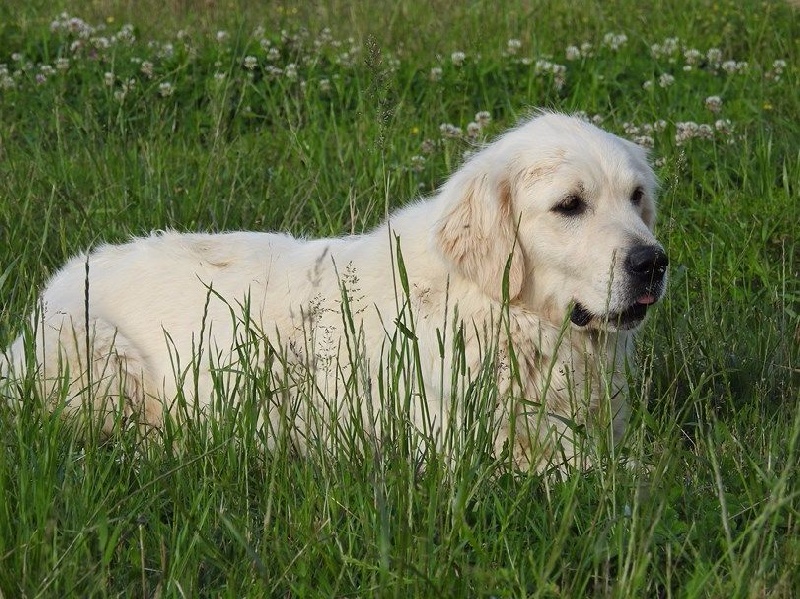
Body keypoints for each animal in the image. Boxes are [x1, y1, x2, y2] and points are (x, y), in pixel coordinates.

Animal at [2, 112, 668, 470]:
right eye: (569, 206)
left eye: (636, 197)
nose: (653, 263)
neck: (502, 312)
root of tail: (63, 275)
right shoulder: (467, 442)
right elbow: (619, 472)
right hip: (98, 357)